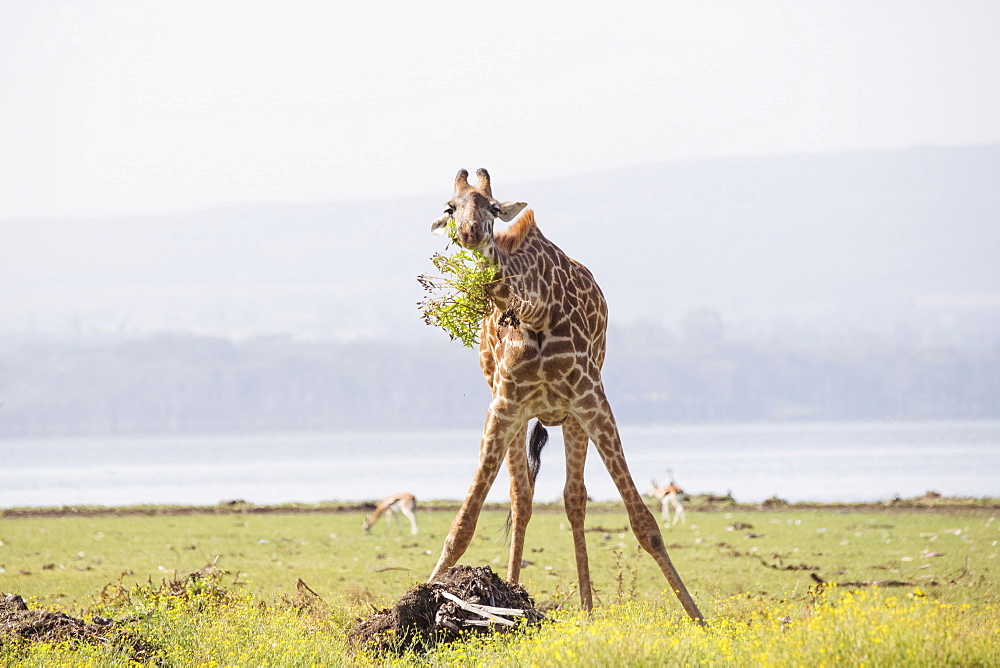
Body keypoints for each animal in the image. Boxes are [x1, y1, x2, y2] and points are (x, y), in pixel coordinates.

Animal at [428, 168, 704, 620]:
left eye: (493, 207)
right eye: (450, 208)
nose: (470, 232)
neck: (535, 309)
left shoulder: (590, 397)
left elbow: (644, 523)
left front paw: (698, 618)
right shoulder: (503, 404)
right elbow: (462, 525)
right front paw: (420, 595)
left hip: (571, 416)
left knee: (574, 498)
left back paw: (588, 608)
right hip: (523, 417)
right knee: (522, 498)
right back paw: (514, 592)